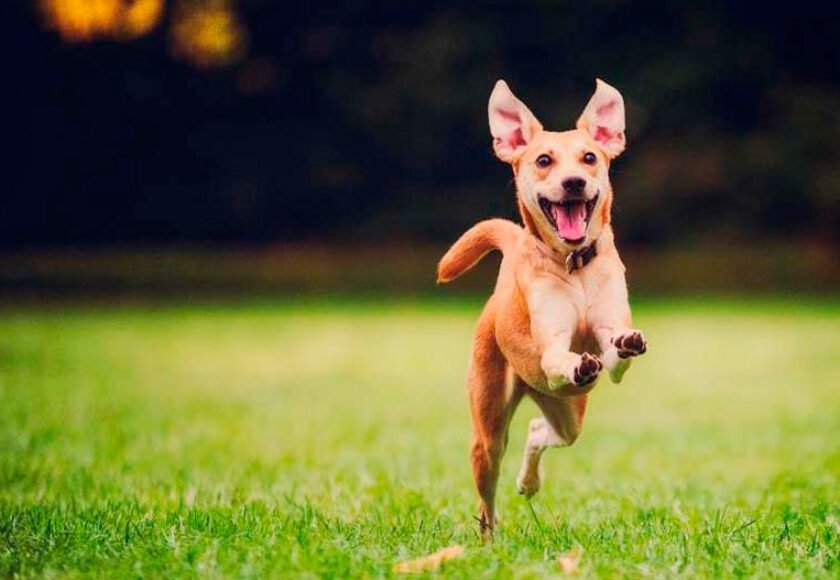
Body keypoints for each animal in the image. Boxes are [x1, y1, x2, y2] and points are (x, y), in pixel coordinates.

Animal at [436, 78, 648, 540]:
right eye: (544, 160)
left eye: (590, 157)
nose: (573, 182)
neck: (575, 266)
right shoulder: (550, 347)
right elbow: (557, 355)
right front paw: (575, 362)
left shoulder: (609, 342)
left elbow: (615, 353)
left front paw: (623, 344)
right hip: (489, 427)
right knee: (487, 497)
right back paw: (489, 540)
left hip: (568, 412)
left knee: (542, 430)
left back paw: (529, 482)